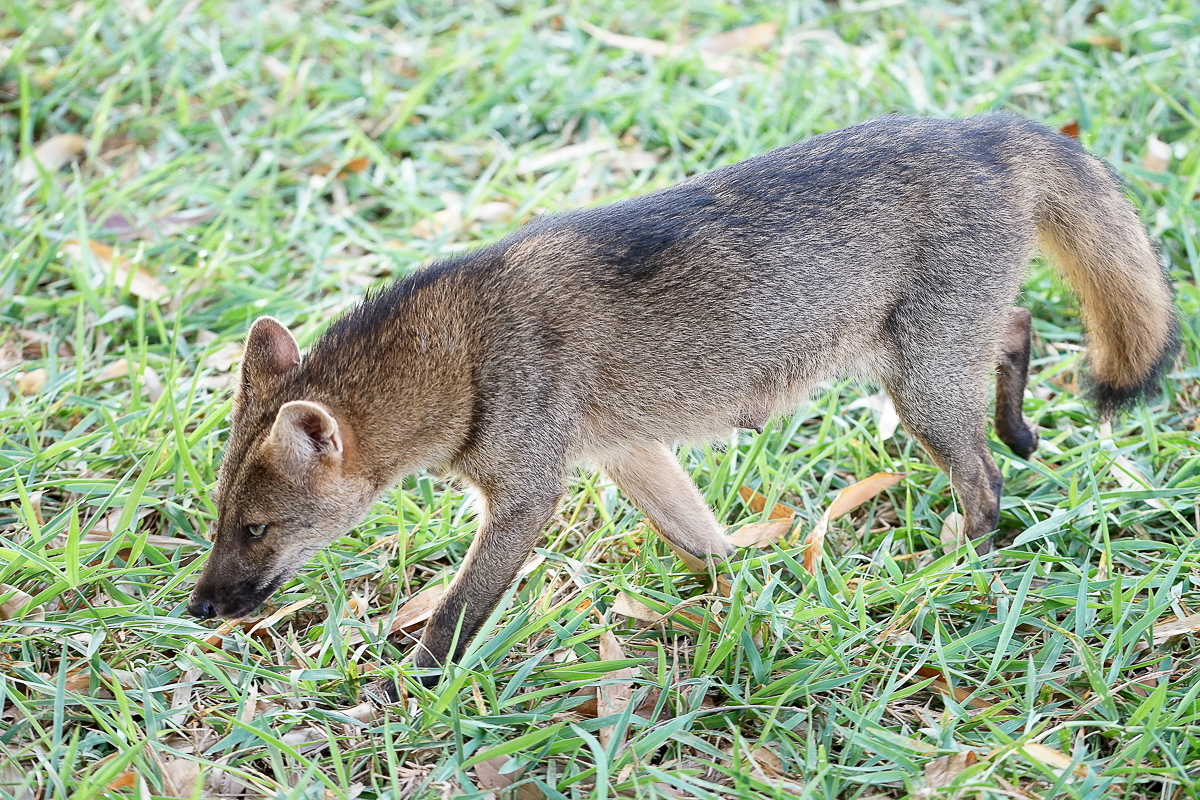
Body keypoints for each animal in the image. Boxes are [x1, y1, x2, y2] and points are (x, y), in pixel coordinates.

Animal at [187, 113, 1178, 691]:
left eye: (257, 530)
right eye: (220, 520)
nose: (198, 608)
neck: (467, 348)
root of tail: (993, 125)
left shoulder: (527, 495)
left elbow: (458, 610)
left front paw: (405, 691)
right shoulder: (628, 454)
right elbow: (704, 543)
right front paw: (750, 599)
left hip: (921, 384)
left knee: (984, 482)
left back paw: (953, 561)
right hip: (934, 356)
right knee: (1016, 327)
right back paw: (1021, 430)